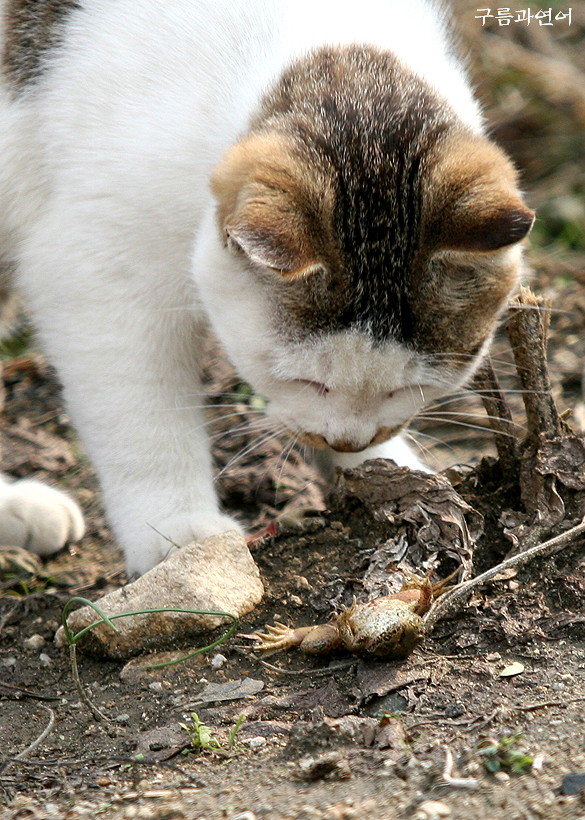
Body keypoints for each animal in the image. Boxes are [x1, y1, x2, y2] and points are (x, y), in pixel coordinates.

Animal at [0, 1, 532, 576]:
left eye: (405, 388)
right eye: (305, 381)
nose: (348, 438)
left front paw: (388, 471)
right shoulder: (94, 268)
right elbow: (142, 419)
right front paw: (174, 532)